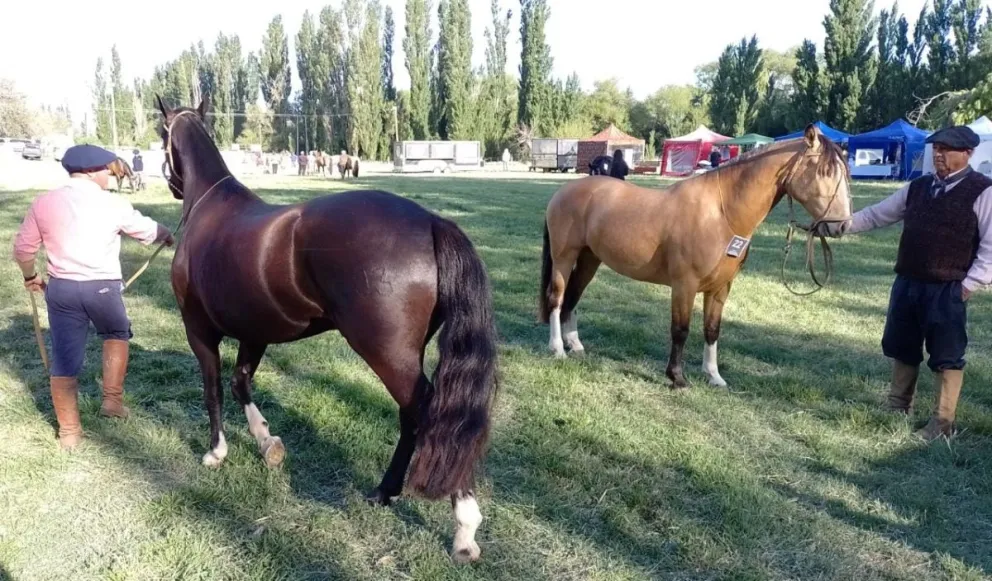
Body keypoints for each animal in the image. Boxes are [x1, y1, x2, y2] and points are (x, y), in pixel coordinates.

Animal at [155, 97, 498, 563]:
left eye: (161, 134)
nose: (170, 182)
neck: (211, 209)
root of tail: (431, 221)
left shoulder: (199, 332)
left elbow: (214, 391)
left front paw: (216, 451)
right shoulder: (255, 332)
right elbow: (241, 383)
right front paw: (267, 443)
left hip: (386, 353)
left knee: (430, 413)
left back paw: (461, 526)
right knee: (414, 415)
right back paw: (387, 493)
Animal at [538, 124, 852, 389]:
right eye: (824, 172)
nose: (841, 226)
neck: (721, 214)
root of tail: (563, 192)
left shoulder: (720, 287)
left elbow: (712, 330)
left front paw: (713, 375)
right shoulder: (684, 285)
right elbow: (681, 329)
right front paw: (677, 377)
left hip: (590, 259)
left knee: (573, 297)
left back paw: (575, 345)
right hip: (564, 257)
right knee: (557, 297)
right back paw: (557, 349)